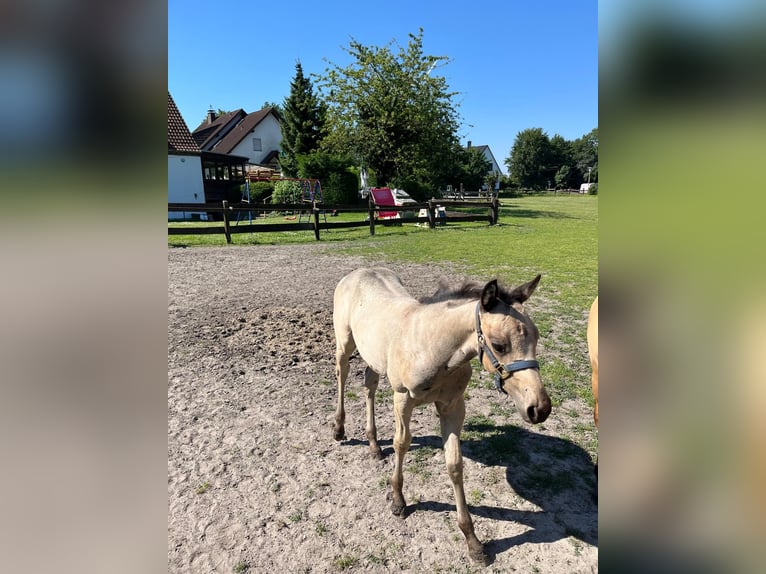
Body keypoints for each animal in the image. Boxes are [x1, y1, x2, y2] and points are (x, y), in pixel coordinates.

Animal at [334, 268, 552, 564]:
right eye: (499, 345)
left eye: (537, 337)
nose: (539, 408)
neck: (434, 350)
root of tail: (358, 272)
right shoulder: (402, 399)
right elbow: (401, 443)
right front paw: (398, 500)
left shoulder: (452, 406)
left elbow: (454, 465)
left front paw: (473, 542)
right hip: (345, 342)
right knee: (342, 374)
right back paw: (339, 428)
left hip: (373, 357)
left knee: (370, 384)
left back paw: (374, 445)